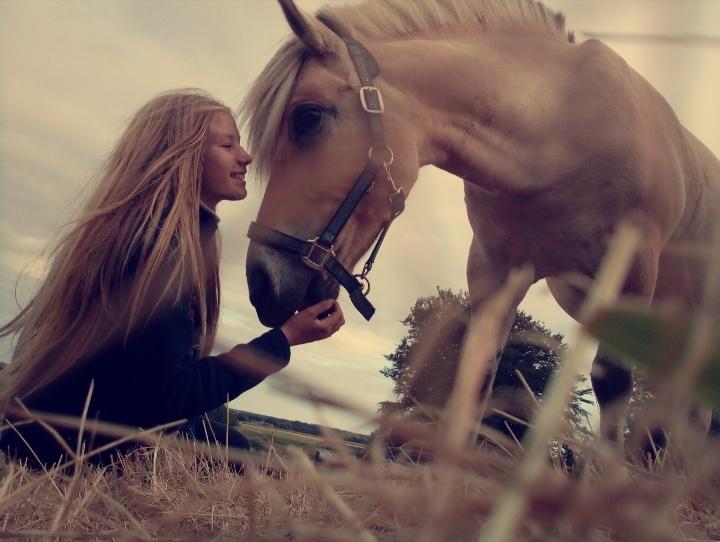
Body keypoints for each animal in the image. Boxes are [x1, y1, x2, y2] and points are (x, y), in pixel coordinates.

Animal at [243, 0, 720, 446]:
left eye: (307, 117)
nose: (260, 283)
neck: (555, 133)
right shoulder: (495, 276)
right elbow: (475, 385)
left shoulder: (631, 269)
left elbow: (613, 383)